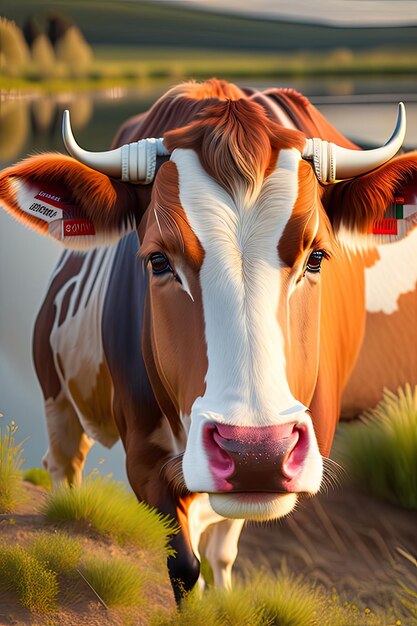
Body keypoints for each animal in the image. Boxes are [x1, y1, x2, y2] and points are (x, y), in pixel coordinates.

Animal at [0, 79, 416, 600]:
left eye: (317, 256)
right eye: (158, 261)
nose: (255, 452)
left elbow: (222, 550)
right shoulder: (144, 457)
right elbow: (184, 565)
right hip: (55, 393)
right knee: (62, 463)